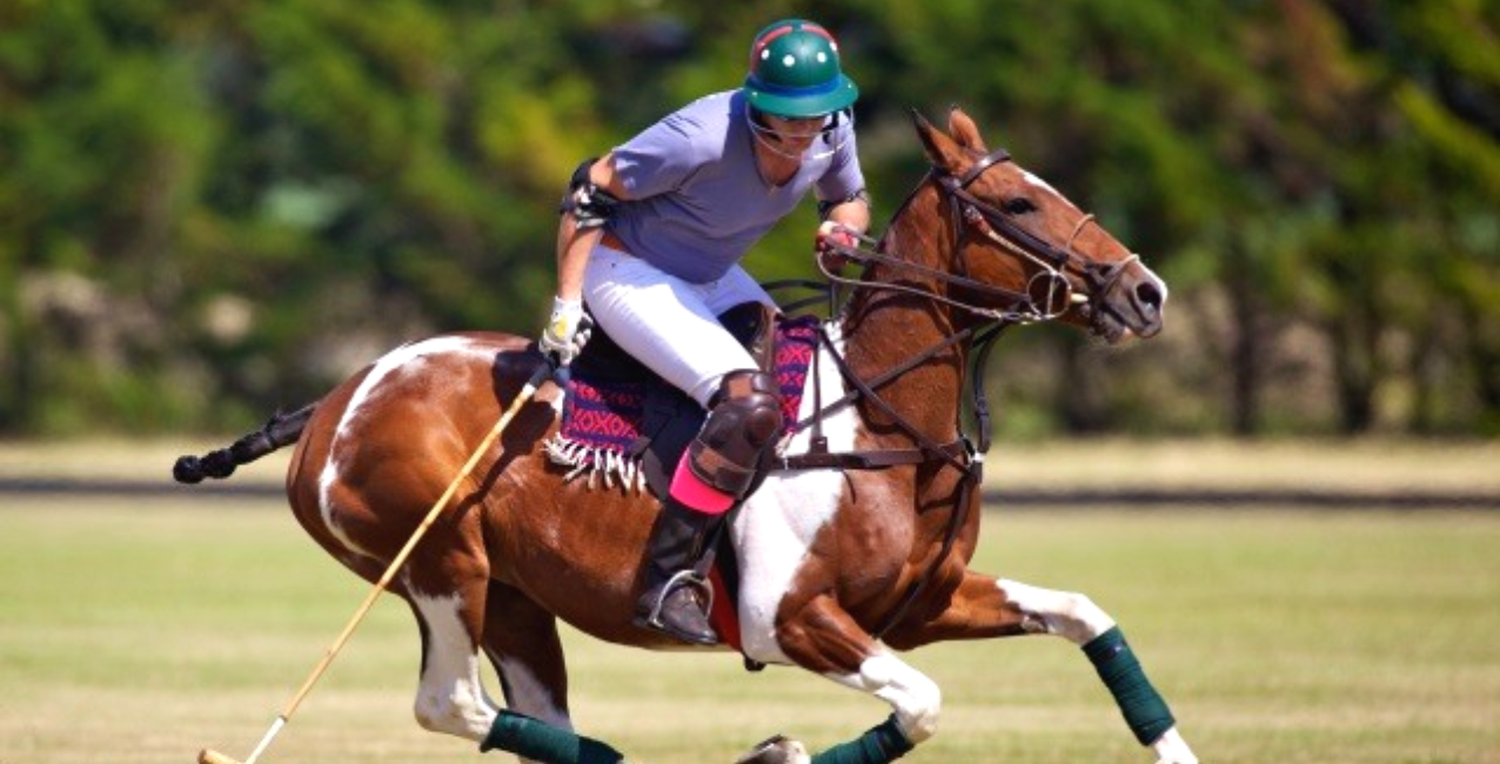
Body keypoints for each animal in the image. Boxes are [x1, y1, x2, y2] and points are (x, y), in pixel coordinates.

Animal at [175, 108, 1200, 762]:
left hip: (514, 596)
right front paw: (784, 751)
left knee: (530, 714)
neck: (878, 416)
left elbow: (1085, 617)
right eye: (1021, 206)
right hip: (438, 562)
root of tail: (337, 399)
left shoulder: (922, 604)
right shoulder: (788, 617)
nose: (1145, 292)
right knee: (448, 702)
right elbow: (922, 703)